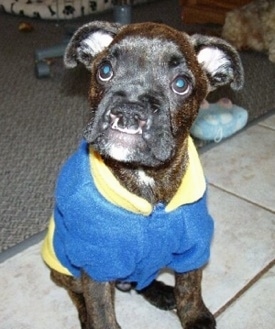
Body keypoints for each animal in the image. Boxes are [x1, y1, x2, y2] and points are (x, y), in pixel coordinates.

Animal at [42, 21, 245, 328]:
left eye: (181, 84)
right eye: (105, 70)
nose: (129, 110)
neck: (145, 179)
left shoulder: (194, 246)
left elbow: (190, 285)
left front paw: (194, 316)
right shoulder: (96, 262)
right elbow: (101, 311)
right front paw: (97, 318)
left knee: (142, 281)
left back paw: (160, 292)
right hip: (65, 269)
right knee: (78, 294)